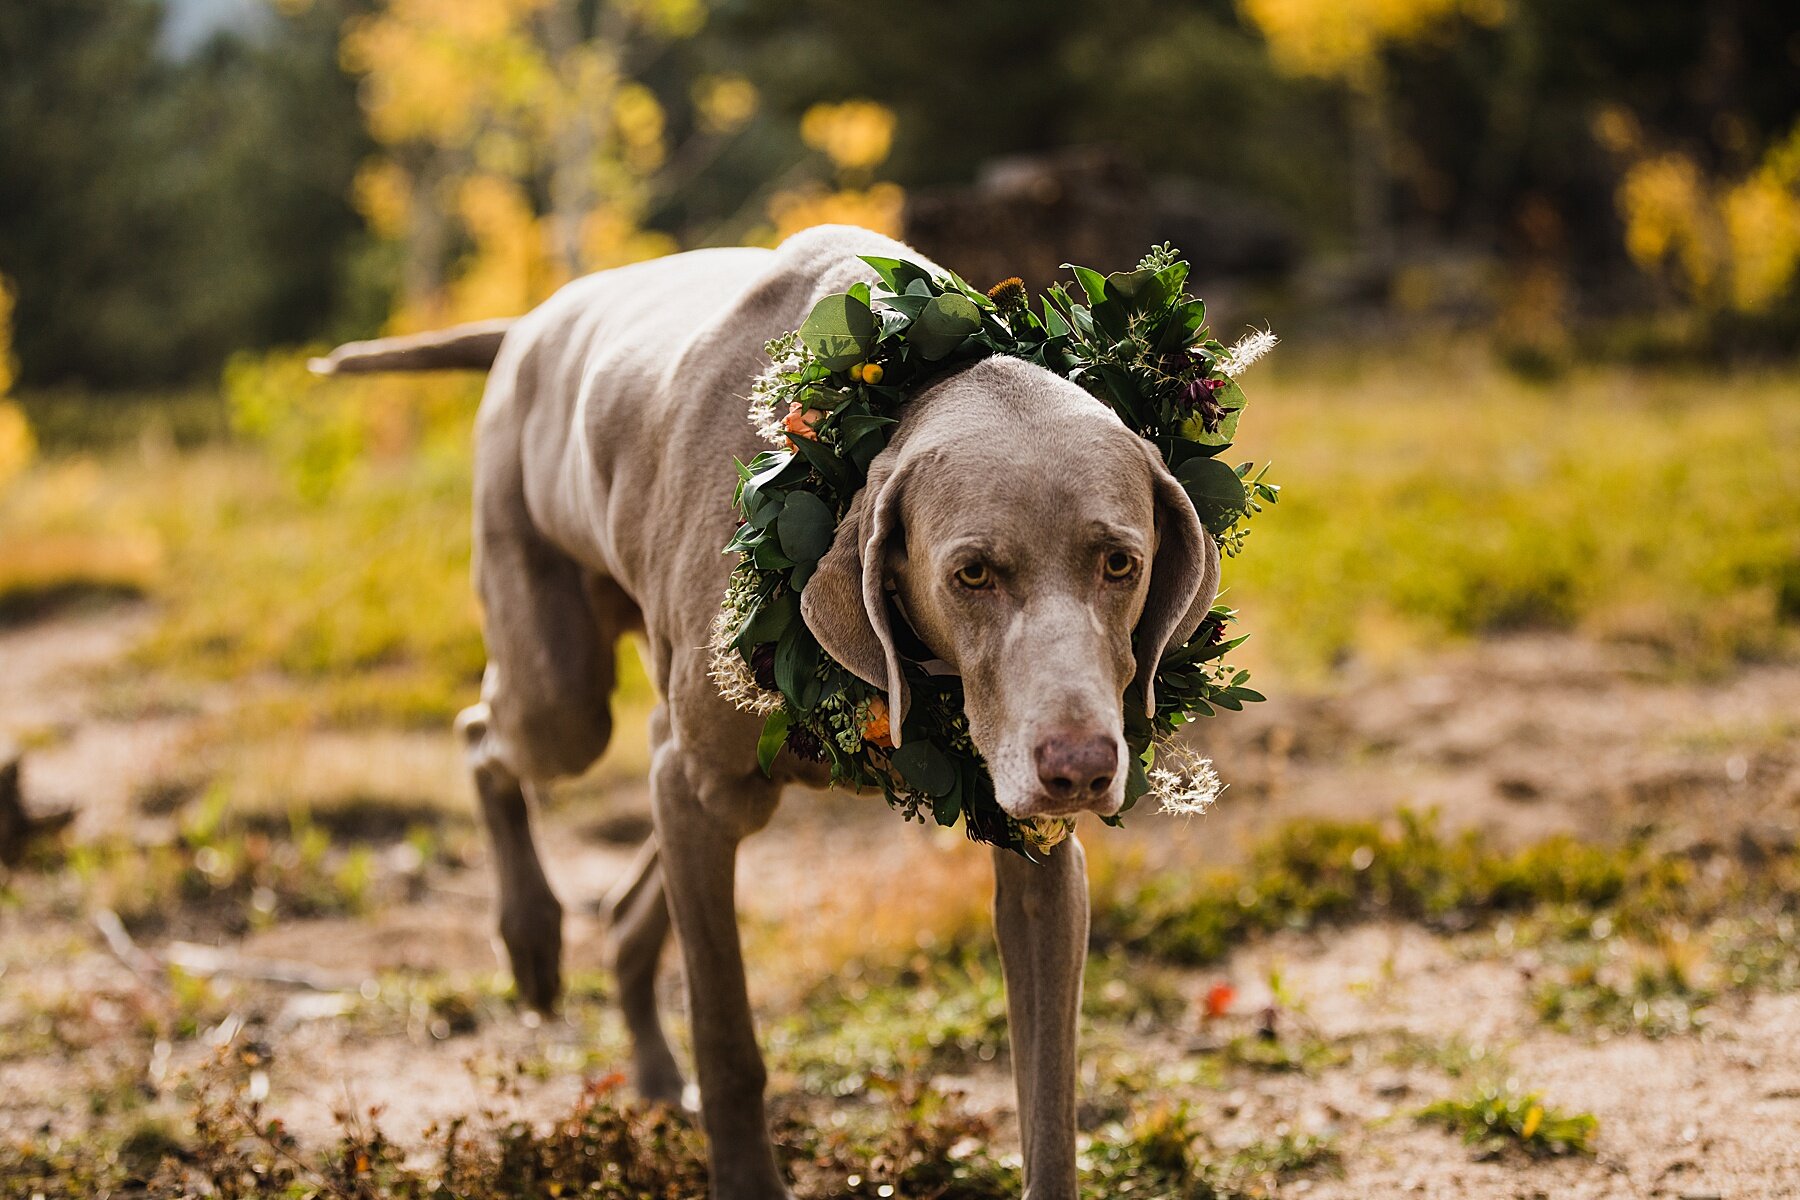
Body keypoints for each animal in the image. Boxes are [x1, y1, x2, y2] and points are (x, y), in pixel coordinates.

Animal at [320, 227, 1224, 1200]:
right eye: (972, 573)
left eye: (1120, 563)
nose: (1081, 769)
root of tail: (532, 320)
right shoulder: (701, 787)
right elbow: (727, 1038)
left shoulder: (1041, 867)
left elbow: (1049, 1097)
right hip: (565, 692)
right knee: (486, 738)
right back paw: (530, 940)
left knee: (632, 863)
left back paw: (645, 1060)